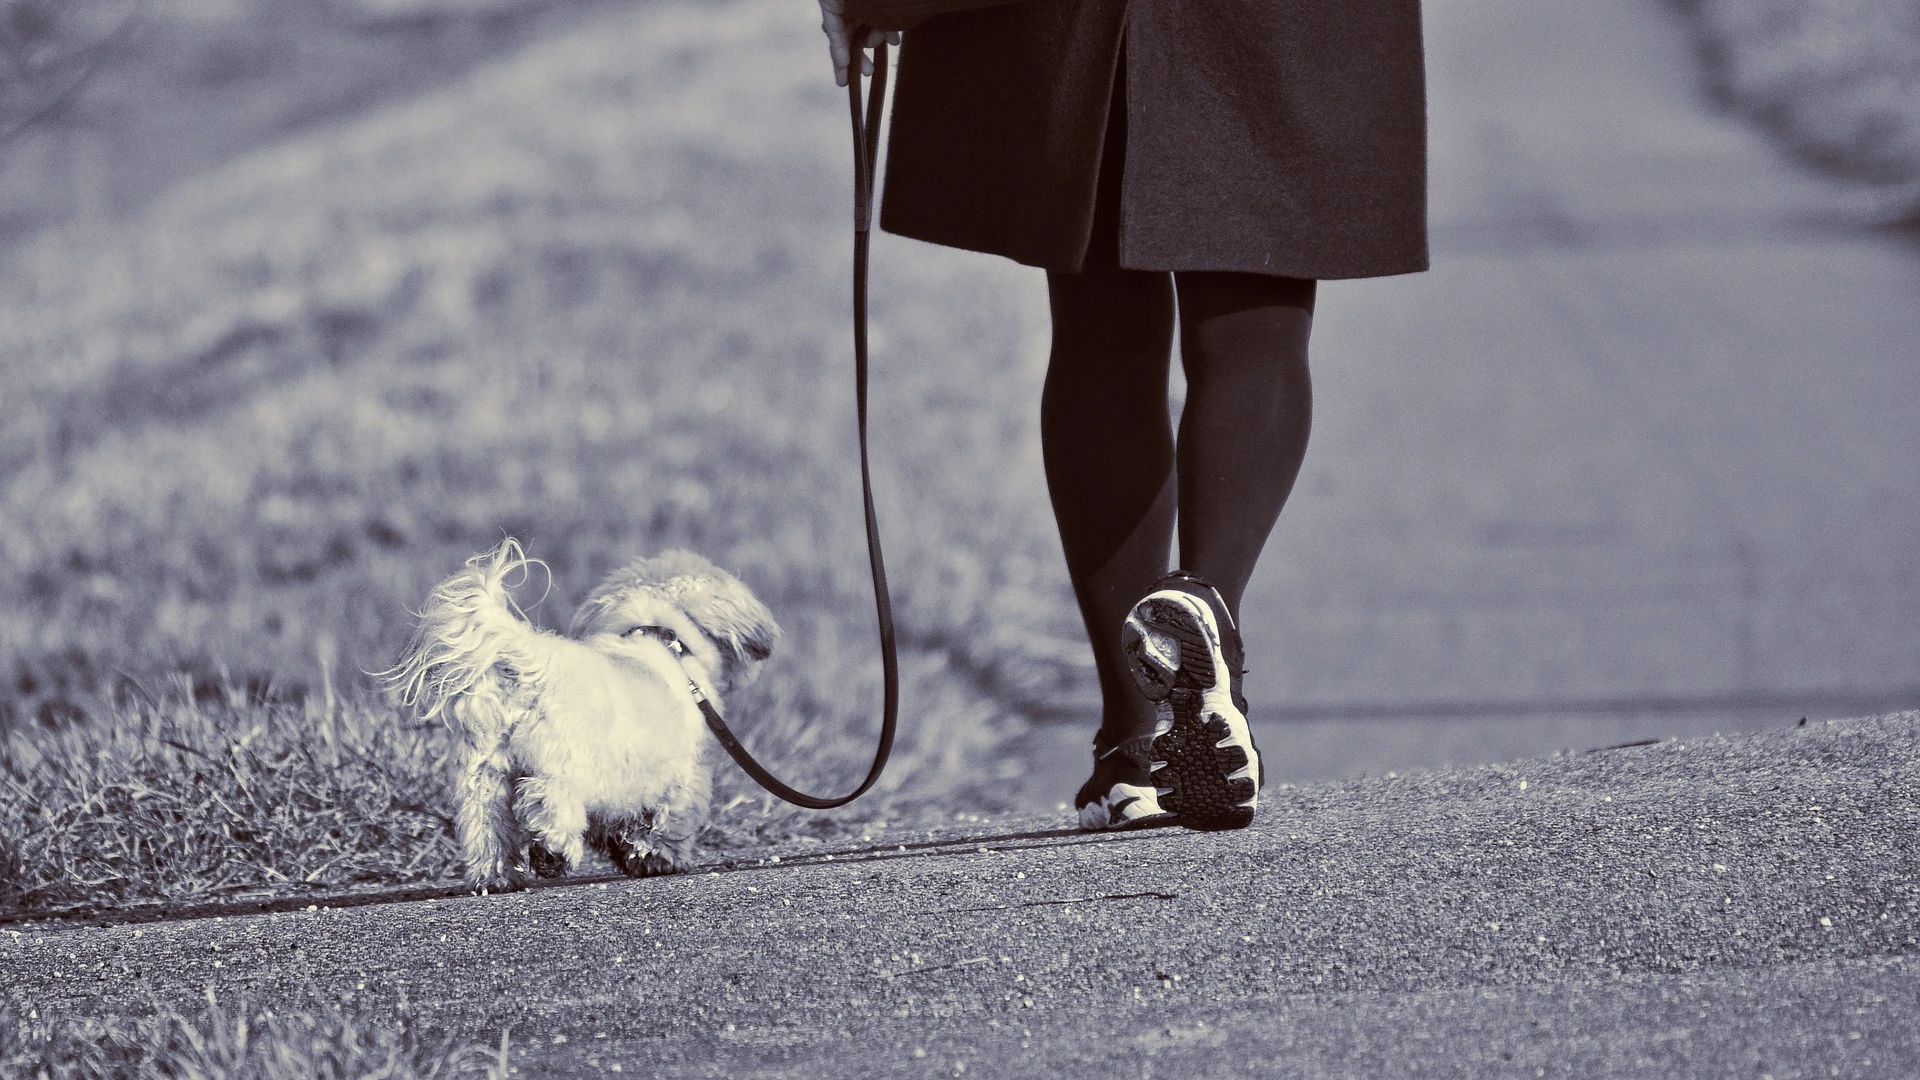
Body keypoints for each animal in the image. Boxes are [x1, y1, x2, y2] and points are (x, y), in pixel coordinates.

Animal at [382, 538, 779, 883]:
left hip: (485, 775)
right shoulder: (682, 776)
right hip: (562, 765)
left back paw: (495, 875)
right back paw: (552, 854)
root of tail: (533, 667)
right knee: (548, 802)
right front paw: (660, 858)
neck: (662, 638)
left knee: (486, 825)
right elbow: (669, 822)